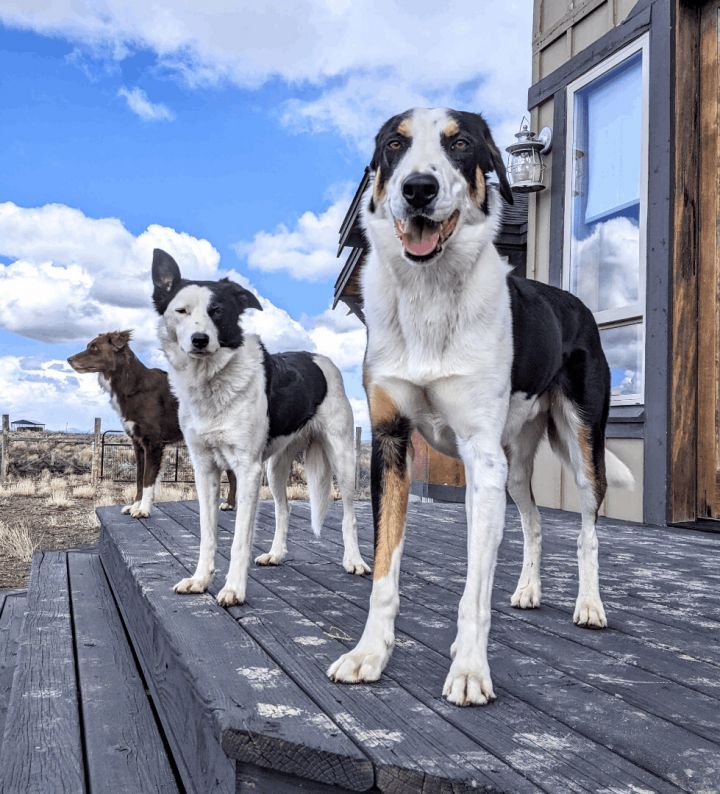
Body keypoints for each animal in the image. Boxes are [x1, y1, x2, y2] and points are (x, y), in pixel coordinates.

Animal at [68, 328, 236, 512]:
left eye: (94, 347)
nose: (68, 359)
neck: (132, 384)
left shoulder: (153, 443)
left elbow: (148, 479)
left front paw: (143, 510)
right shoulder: (138, 444)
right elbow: (139, 479)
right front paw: (134, 505)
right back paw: (230, 503)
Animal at [150, 251, 366, 604]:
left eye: (218, 311)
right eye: (181, 311)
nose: (199, 340)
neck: (211, 381)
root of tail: (318, 358)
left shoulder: (247, 469)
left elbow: (239, 539)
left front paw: (234, 588)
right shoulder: (204, 468)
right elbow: (207, 533)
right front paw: (200, 579)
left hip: (343, 458)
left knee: (349, 514)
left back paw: (355, 561)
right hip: (276, 467)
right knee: (284, 509)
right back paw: (276, 554)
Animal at [330, 106, 632, 704]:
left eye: (461, 144)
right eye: (395, 145)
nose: (417, 189)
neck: (428, 293)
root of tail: (577, 303)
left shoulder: (478, 453)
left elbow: (473, 590)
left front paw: (470, 669)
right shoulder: (390, 446)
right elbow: (384, 570)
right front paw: (369, 654)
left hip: (580, 447)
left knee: (586, 530)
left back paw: (589, 605)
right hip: (509, 466)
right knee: (533, 522)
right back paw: (527, 590)